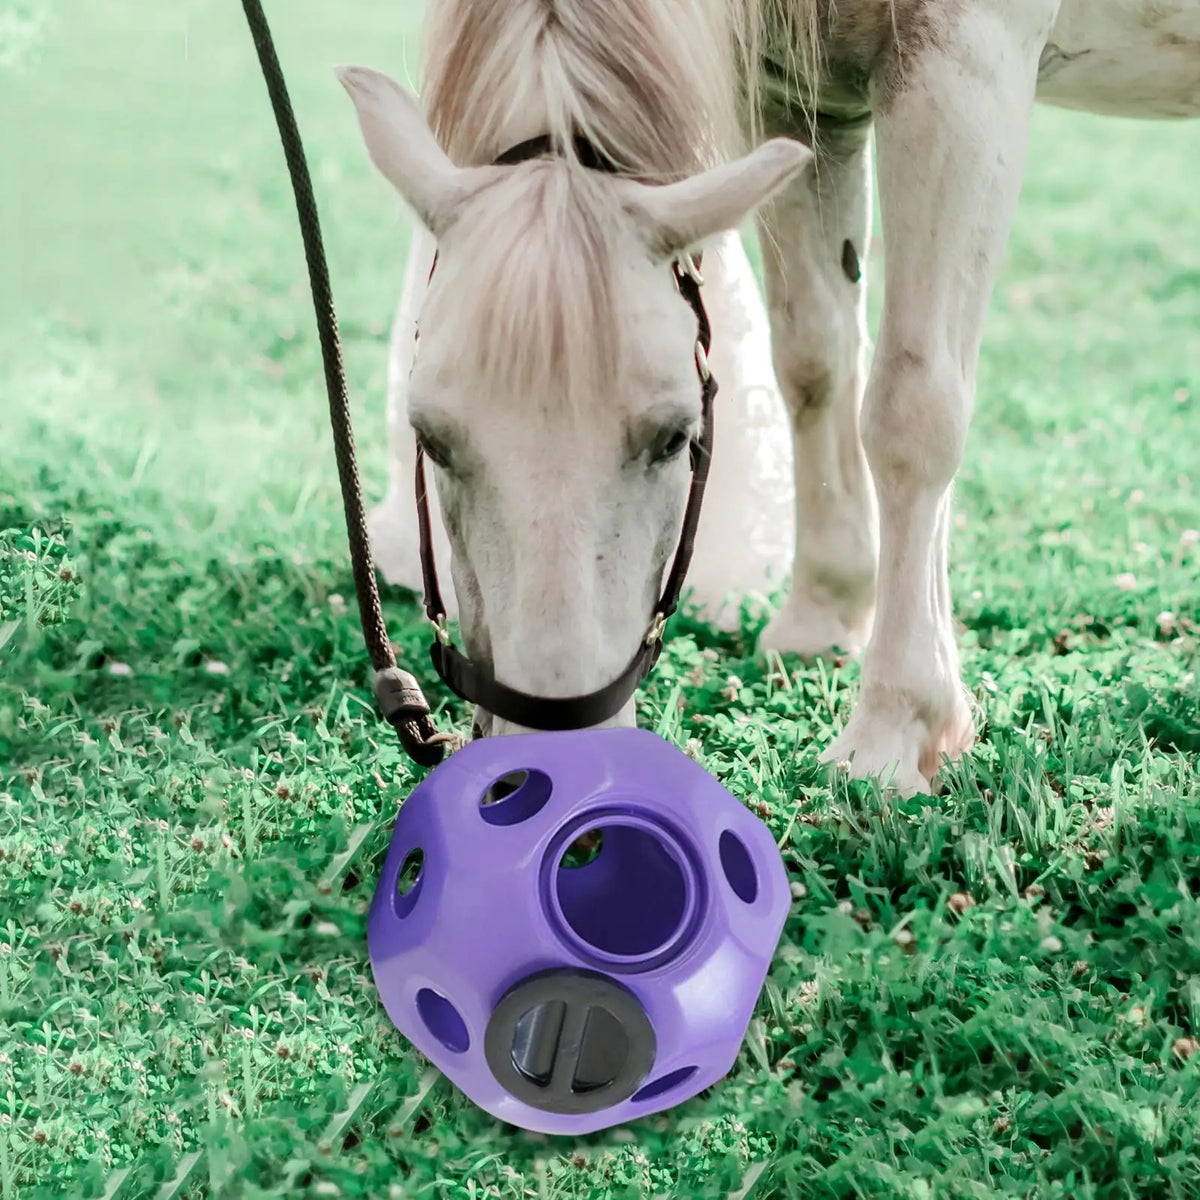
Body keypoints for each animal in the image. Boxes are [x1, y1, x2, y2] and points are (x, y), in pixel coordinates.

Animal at [338, 0, 1200, 795]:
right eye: (429, 439)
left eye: (675, 437)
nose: (551, 769)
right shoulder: (802, 100)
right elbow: (815, 362)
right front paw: (824, 615)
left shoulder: (966, 59)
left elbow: (912, 404)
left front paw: (896, 723)